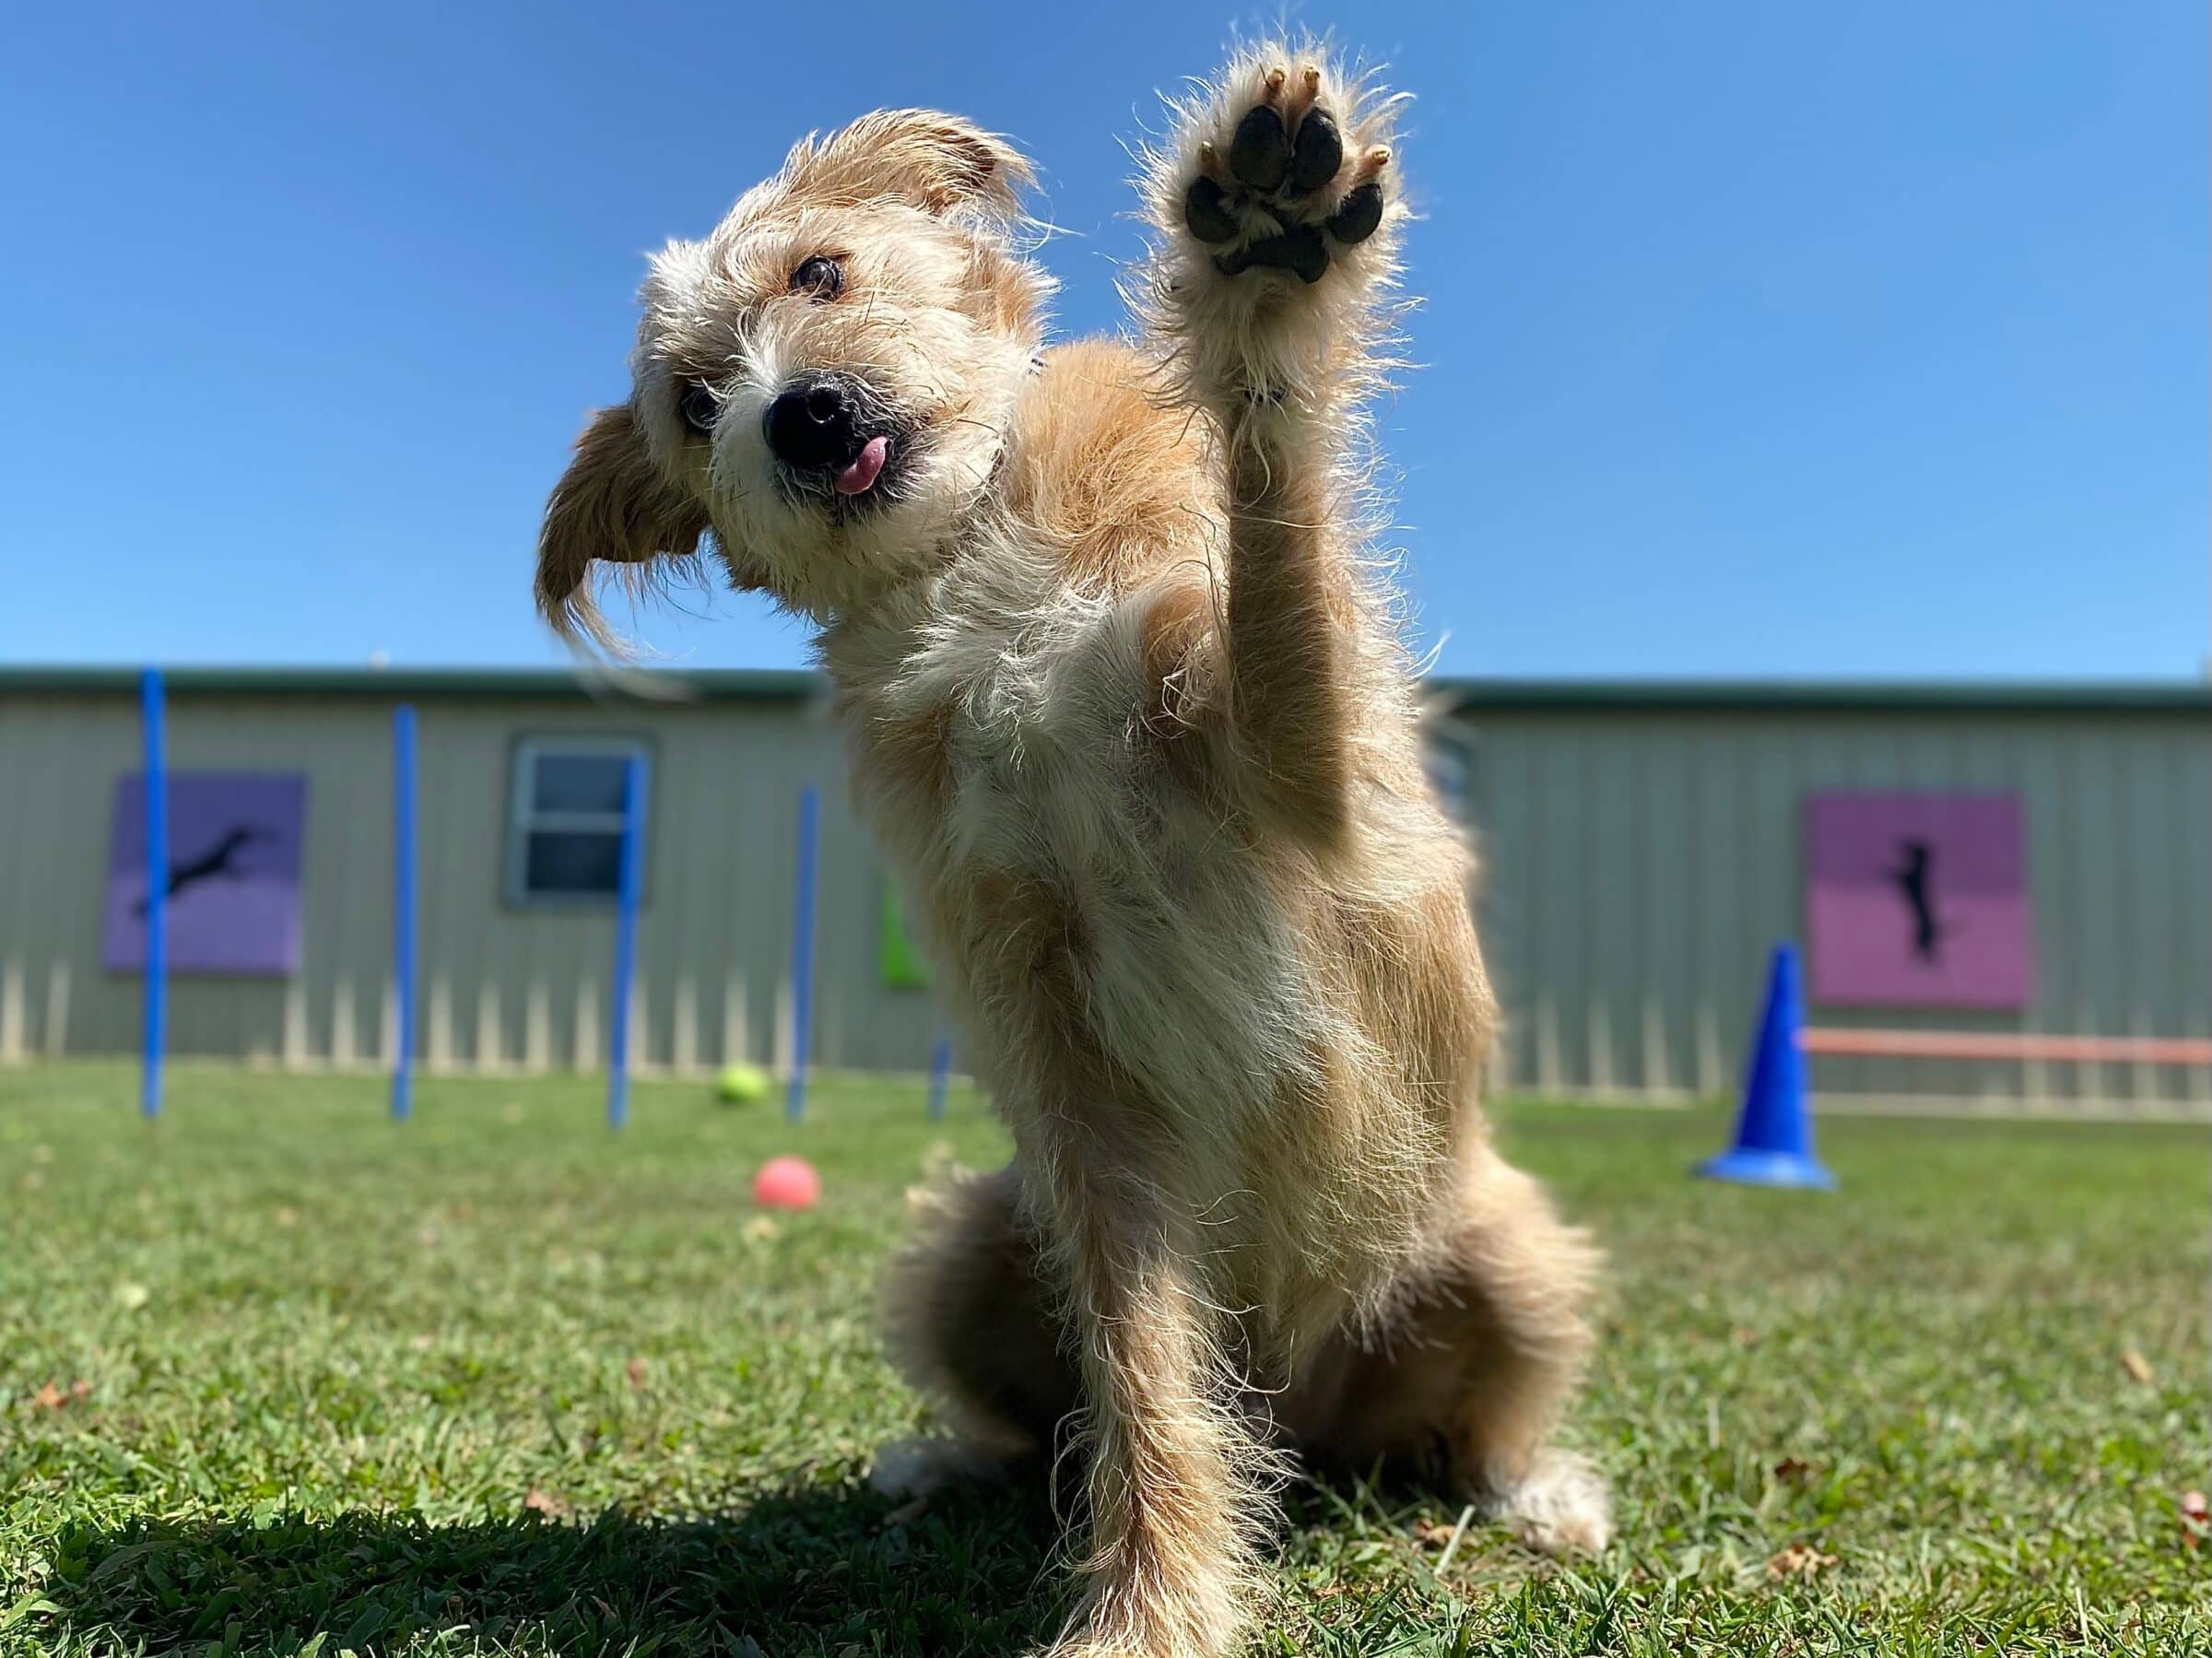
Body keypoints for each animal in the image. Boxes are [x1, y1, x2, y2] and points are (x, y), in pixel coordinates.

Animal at [535, 35, 1610, 1658]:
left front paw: (1265, 279)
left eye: (820, 272)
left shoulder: (1307, 776)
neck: (972, 567)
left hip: (1513, 1256)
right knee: (1055, 1402)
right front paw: (1156, 1600)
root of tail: (1304, 1393)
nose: (803, 415)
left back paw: (1533, 1488)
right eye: (697, 398)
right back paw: (941, 1460)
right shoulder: (1063, 1052)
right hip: (966, 1248)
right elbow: (1140, 1358)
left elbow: (1275, 551)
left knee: (1469, 1429)